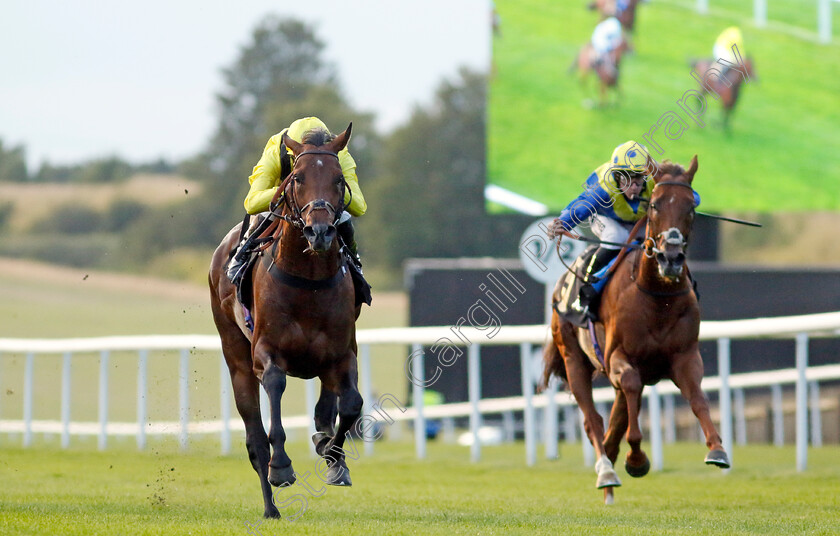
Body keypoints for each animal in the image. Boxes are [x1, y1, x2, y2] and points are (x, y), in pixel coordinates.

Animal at [208, 123, 362, 516]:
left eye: (339, 179)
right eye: (297, 178)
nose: (320, 231)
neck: (308, 280)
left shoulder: (342, 351)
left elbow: (351, 404)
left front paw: (333, 457)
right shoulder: (265, 352)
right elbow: (275, 392)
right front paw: (281, 466)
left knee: (328, 402)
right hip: (235, 355)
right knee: (253, 438)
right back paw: (271, 507)